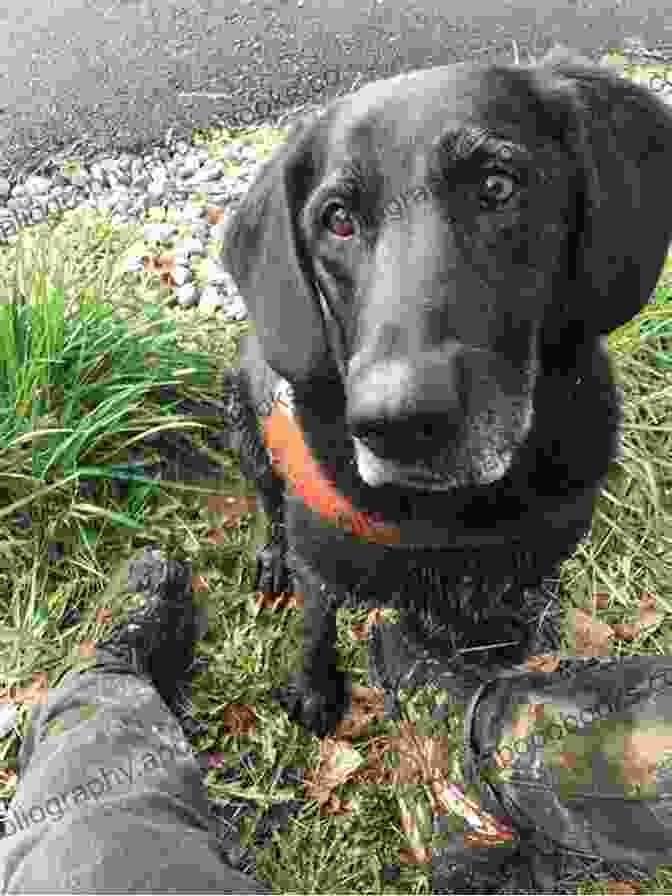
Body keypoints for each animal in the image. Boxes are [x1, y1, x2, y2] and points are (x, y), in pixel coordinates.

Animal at [220, 49, 672, 736]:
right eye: (337, 219)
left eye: (497, 185)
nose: (398, 423)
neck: (455, 515)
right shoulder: (322, 561)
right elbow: (317, 623)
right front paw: (316, 690)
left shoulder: (531, 568)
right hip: (247, 429)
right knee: (270, 505)